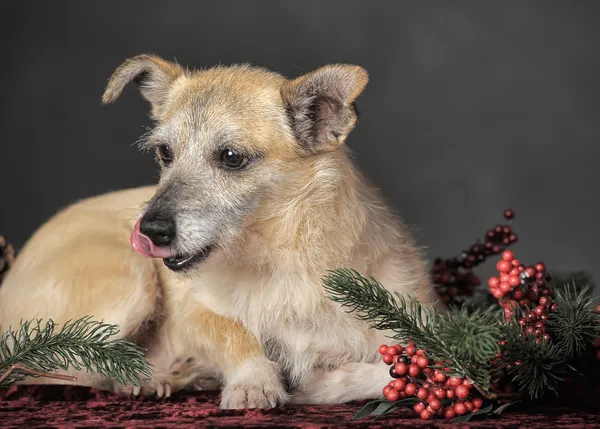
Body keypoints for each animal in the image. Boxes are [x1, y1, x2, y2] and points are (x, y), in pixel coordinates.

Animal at [0, 55, 440, 406]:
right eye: (165, 153)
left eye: (231, 157)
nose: (149, 229)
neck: (282, 259)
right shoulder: (193, 312)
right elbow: (233, 330)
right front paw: (254, 380)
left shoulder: (427, 335)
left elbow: (399, 376)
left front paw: (323, 384)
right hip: (127, 280)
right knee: (43, 364)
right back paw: (155, 377)